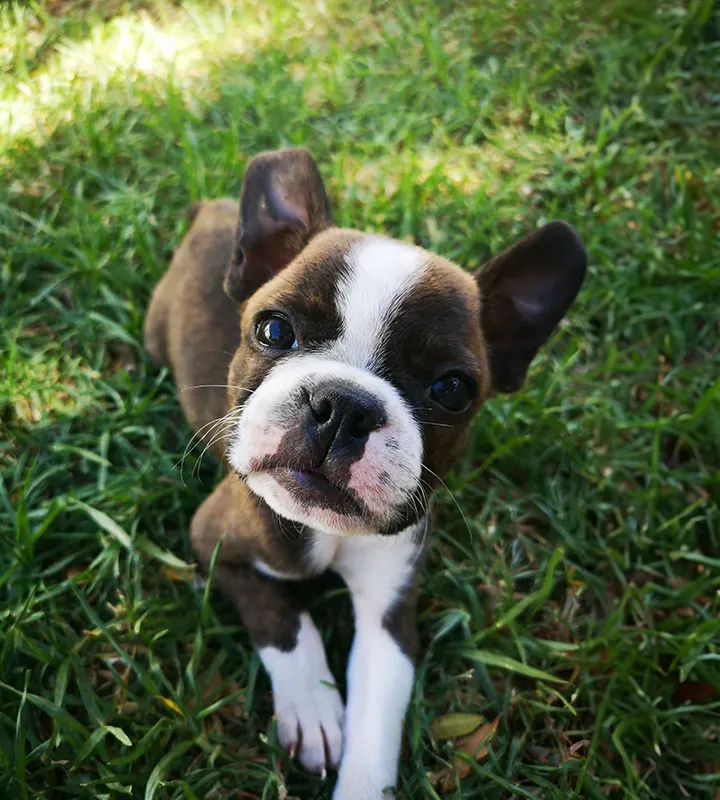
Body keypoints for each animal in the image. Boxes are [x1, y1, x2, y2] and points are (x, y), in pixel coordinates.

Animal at [143, 150, 588, 800]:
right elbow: (284, 619)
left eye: (452, 390)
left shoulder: (389, 616)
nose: (343, 407)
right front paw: (312, 707)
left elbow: (376, 724)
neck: (324, 531)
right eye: (274, 330)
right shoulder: (216, 544)